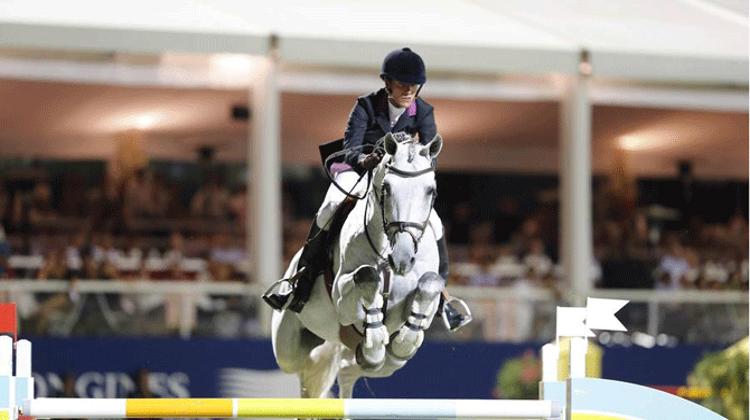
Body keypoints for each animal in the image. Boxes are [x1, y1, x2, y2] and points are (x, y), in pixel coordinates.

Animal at [272, 134, 444, 400]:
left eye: (431, 191)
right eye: (387, 188)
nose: (403, 258)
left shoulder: (423, 292)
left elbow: (430, 283)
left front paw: (401, 340)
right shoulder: (341, 297)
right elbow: (367, 275)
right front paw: (374, 337)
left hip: (384, 364)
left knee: (353, 368)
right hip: (289, 347)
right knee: (306, 369)